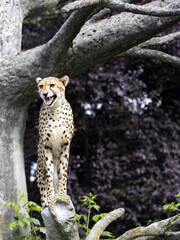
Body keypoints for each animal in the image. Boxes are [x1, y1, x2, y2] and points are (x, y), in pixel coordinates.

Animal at [35, 75, 74, 208]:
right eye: (41, 86)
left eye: (52, 85)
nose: (44, 93)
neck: (55, 111)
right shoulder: (46, 146)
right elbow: (49, 174)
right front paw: (50, 197)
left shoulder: (65, 145)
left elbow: (63, 172)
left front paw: (62, 194)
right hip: (39, 170)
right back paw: (46, 201)